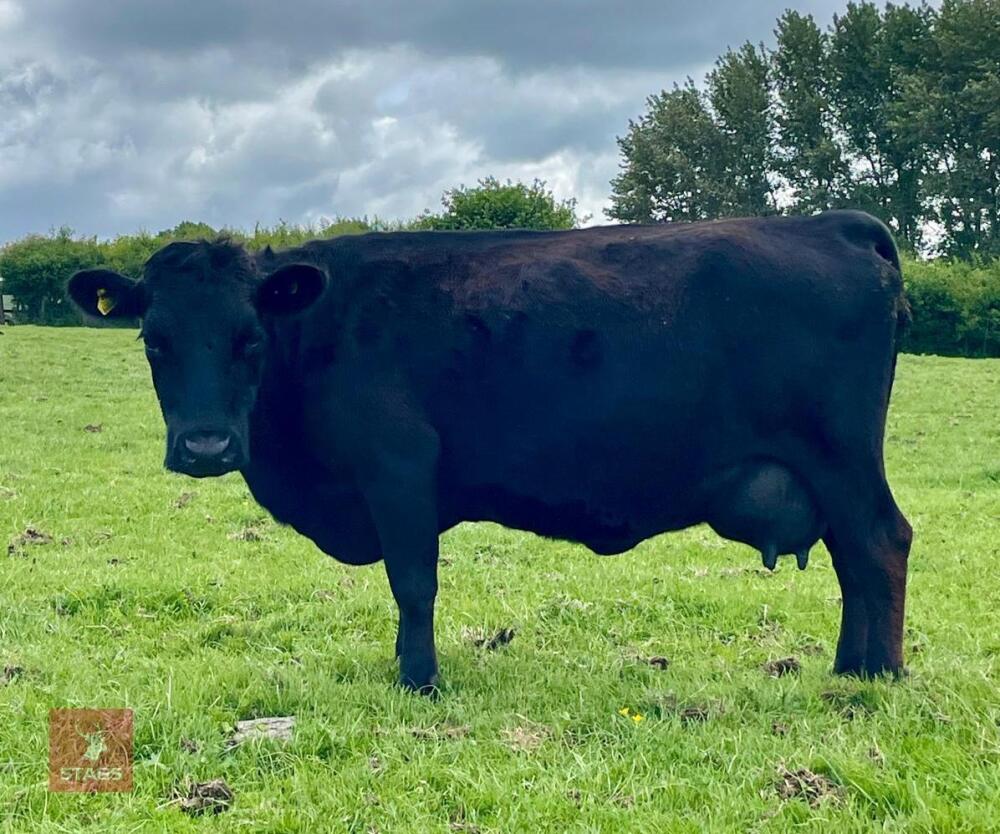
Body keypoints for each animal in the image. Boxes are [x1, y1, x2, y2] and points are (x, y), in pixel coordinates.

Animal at [67, 210, 913, 693]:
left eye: (250, 338)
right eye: (154, 341)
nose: (206, 445)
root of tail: (830, 222)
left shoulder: (399, 470)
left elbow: (414, 583)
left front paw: (419, 681)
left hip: (841, 461)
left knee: (880, 545)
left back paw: (879, 678)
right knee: (856, 561)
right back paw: (851, 669)